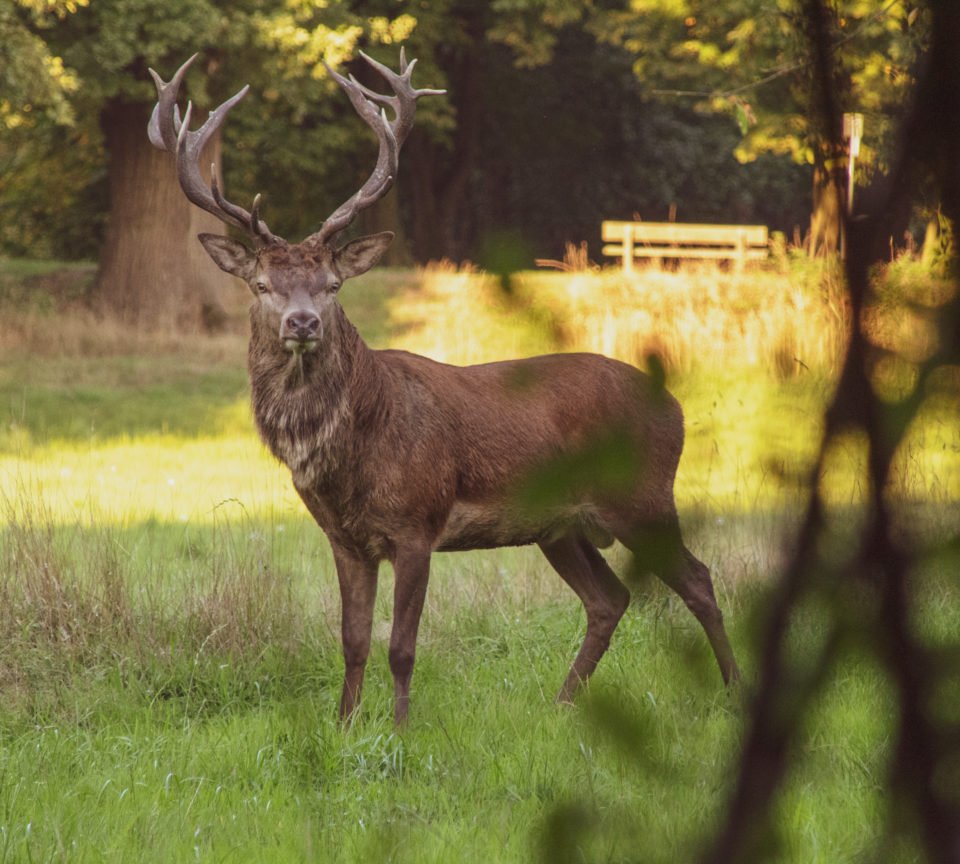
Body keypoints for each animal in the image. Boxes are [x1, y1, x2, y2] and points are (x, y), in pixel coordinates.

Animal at [147, 50, 740, 725]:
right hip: (560, 526)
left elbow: (401, 645)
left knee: (699, 580)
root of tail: (677, 407)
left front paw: (401, 729)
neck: (356, 448)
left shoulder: (417, 522)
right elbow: (352, 640)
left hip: (642, 495)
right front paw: (345, 725)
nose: (303, 322)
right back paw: (562, 703)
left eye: (332, 284)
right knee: (609, 598)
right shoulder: (343, 538)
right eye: (263, 284)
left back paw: (732, 690)